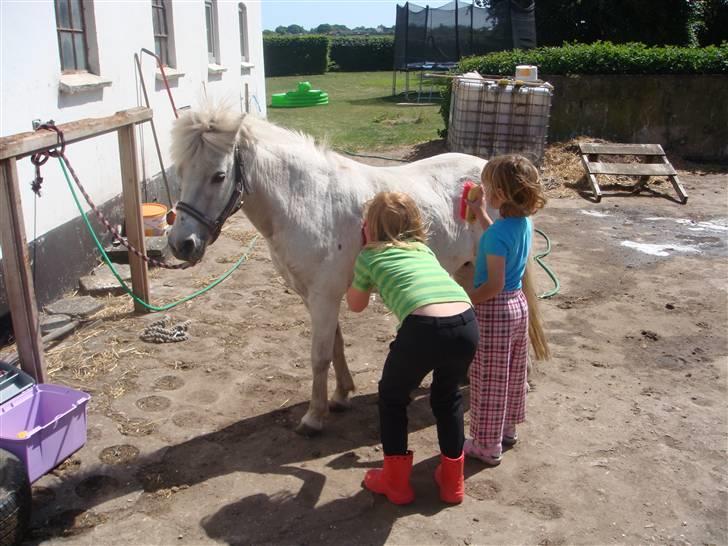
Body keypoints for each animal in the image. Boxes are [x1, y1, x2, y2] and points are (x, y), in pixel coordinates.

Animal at [169, 103, 544, 434]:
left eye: (218, 176)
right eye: (181, 172)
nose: (180, 244)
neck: (308, 201)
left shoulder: (324, 296)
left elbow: (319, 356)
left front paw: (313, 417)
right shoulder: (314, 296)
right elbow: (335, 346)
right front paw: (340, 396)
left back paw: (522, 381)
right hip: (467, 270)